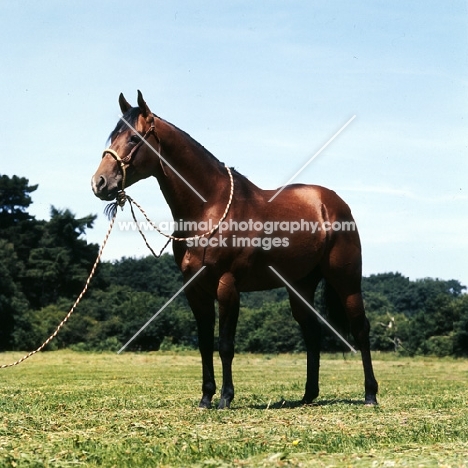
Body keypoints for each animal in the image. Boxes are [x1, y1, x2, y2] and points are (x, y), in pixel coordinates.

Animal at [90, 90, 376, 406]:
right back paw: (308, 395)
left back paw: (370, 394)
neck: (208, 207)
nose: (99, 182)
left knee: (360, 329)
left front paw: (226, 398)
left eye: (133, 138)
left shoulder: (227, 286)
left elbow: (225, 344)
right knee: (312, 332)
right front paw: (206, 398)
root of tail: (333, 203)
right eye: (113, 136)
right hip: (300, 285)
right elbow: (204, 344)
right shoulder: (195, 289)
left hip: (346, 281)